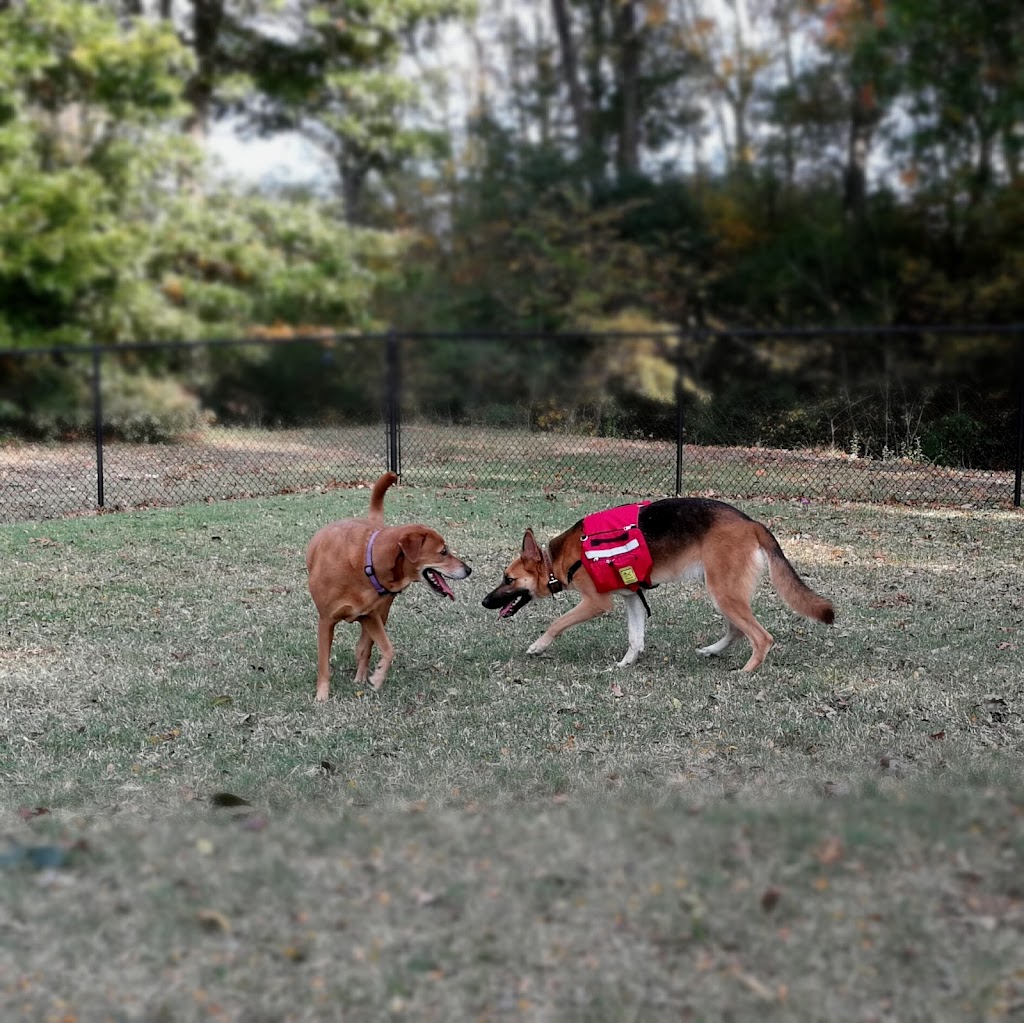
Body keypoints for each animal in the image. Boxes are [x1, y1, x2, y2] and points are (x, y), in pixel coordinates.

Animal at [303, 473, 471, 700]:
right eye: (443, 551)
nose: (469, 569)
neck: (367, 562)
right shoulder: (326, 621)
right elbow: (323, 664)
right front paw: (322, 696)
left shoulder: (371, 616)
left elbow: (388, 649)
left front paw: (378, 677)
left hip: (382, 612)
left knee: (364, 649)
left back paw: (361, 675)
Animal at [479, 495, 831, 671]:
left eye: (508, 579)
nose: (484, 602)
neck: (560, 558)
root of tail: (750, 522)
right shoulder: (633, 597)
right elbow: (635, 638)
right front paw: (626, 664)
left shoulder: (596, 603)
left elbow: (557, 622)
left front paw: (538, 646)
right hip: (725, 593)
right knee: (737, 630)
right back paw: (713, 651)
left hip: (723, 592)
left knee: (761, 637)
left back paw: (746, 671)